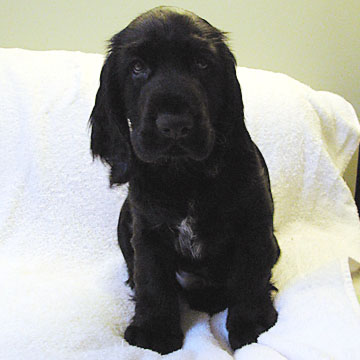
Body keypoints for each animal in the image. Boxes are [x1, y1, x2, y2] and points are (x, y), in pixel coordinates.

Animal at [89, 5, 278, 354]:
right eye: (137, 67)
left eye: (202, 64)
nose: (174, 124)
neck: (183, 174)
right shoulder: (147, 230)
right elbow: (152, 280)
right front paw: (154, 331)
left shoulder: (254, 223)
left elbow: (250, 275)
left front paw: (252, 326)